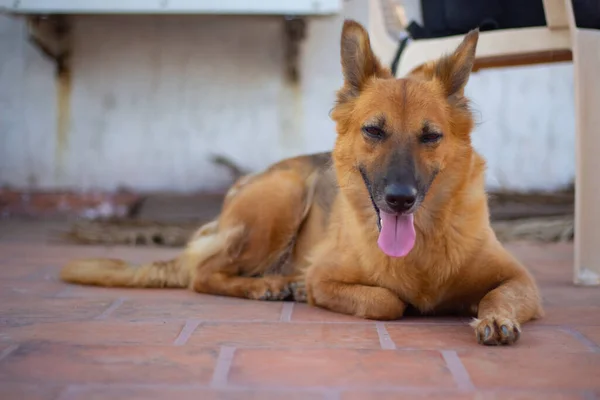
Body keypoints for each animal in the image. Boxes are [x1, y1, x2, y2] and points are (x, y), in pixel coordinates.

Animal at [62, 19, 544, 344]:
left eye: (430, 136)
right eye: (374, 131)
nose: (400, 201)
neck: (422, 246)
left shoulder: (521, 280)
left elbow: (498, 297)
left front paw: (495, 318)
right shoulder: (325, 280)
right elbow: (386, 301)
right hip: (283, 200)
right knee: (205, 273)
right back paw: (270, 285)